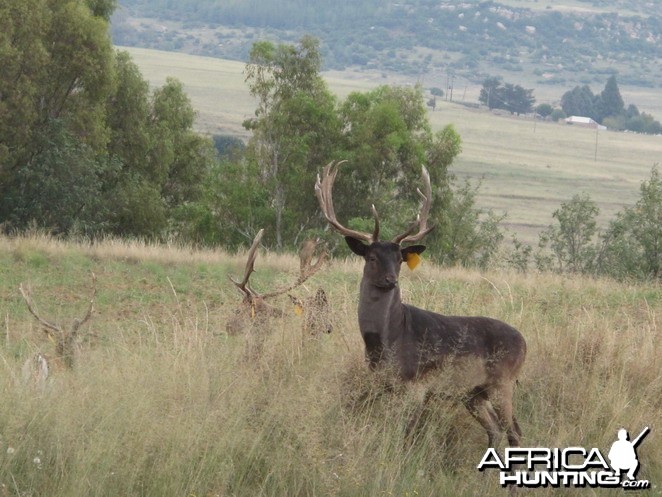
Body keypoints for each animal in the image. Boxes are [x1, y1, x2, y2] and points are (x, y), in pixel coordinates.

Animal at [316, 161, 528, 448]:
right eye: (372, 257)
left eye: (399, 259)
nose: (391, 279)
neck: (390, 339)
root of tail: (525, 343)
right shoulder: (382, 382)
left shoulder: (417, 384)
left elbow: (405, 433)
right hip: (473, 393)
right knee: (494, 430)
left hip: (502, 382)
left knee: (514, 431)